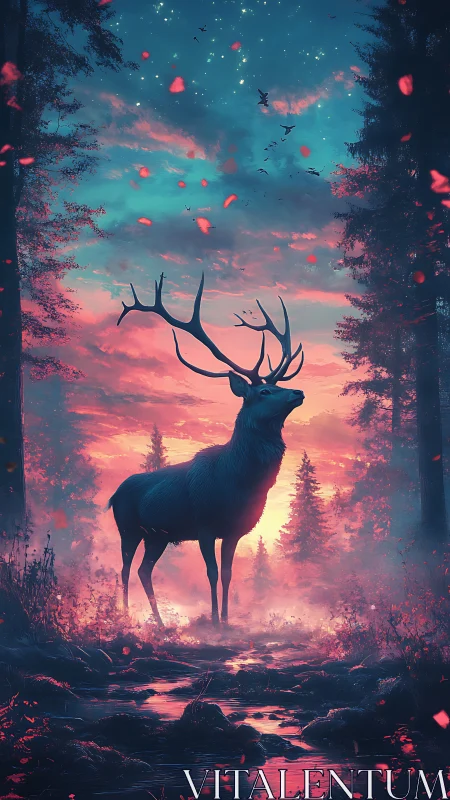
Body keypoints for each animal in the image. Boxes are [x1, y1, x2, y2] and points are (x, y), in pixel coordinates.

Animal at [108, 273, 305, 627]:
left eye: (279, 385)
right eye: (265, 391)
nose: (298, 392)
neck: (240, 481)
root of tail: (112, 495)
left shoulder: (234, 530)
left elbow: (227, 574)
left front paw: (226, 620)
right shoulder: (205, 526)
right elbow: (211, 574)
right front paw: (213, 622)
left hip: (158, 536)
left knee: (144, 570)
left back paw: (160, 623)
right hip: (128, 527)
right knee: (126, 569)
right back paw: (128, 617)